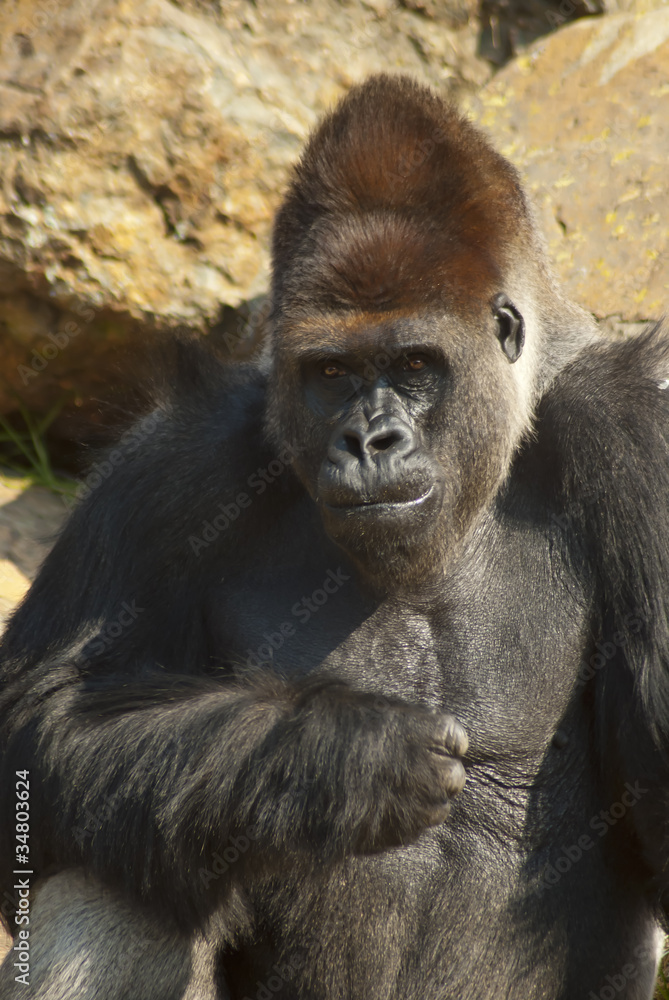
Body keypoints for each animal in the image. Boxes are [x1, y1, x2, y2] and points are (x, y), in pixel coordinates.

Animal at [1, 74, 668, 996]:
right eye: (331, 373)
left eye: (415, 365)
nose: (367, 441)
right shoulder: (177, 459)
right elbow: (41, 715)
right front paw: (333, 759)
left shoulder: (636, 436)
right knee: (121, 872)